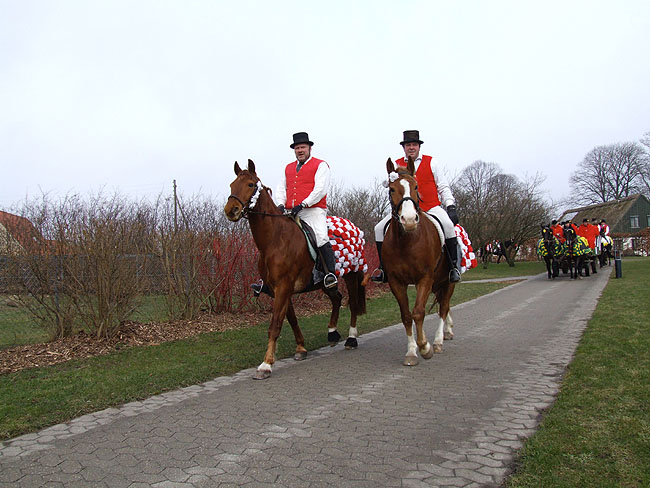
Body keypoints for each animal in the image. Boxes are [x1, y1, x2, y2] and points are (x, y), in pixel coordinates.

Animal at [224, 159, 368, 379]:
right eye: (232, 185)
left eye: (250, 184)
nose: (231, 210)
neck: (275, 239)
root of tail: (354, 227)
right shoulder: (279, 290)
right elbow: (290, 319)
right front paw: (301, 348)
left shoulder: (284, 287)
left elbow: (275, 324)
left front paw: (266, 364)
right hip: (324, 282)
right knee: (337, 299)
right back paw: (332, 333)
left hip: (351, 276)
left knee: (351, 303)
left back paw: (351, 339)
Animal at [381, 157, 455, 366]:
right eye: (391, 189)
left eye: (415, 186)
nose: (409, 220)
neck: (407, 241)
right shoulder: (396, 282)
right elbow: (406, 316)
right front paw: (412, 352)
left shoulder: (425, 279)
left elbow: (418, 312)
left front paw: (425, 347)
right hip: (438, 284)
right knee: (443, 306)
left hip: (448, 282)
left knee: (444, 308)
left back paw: (438, 341)